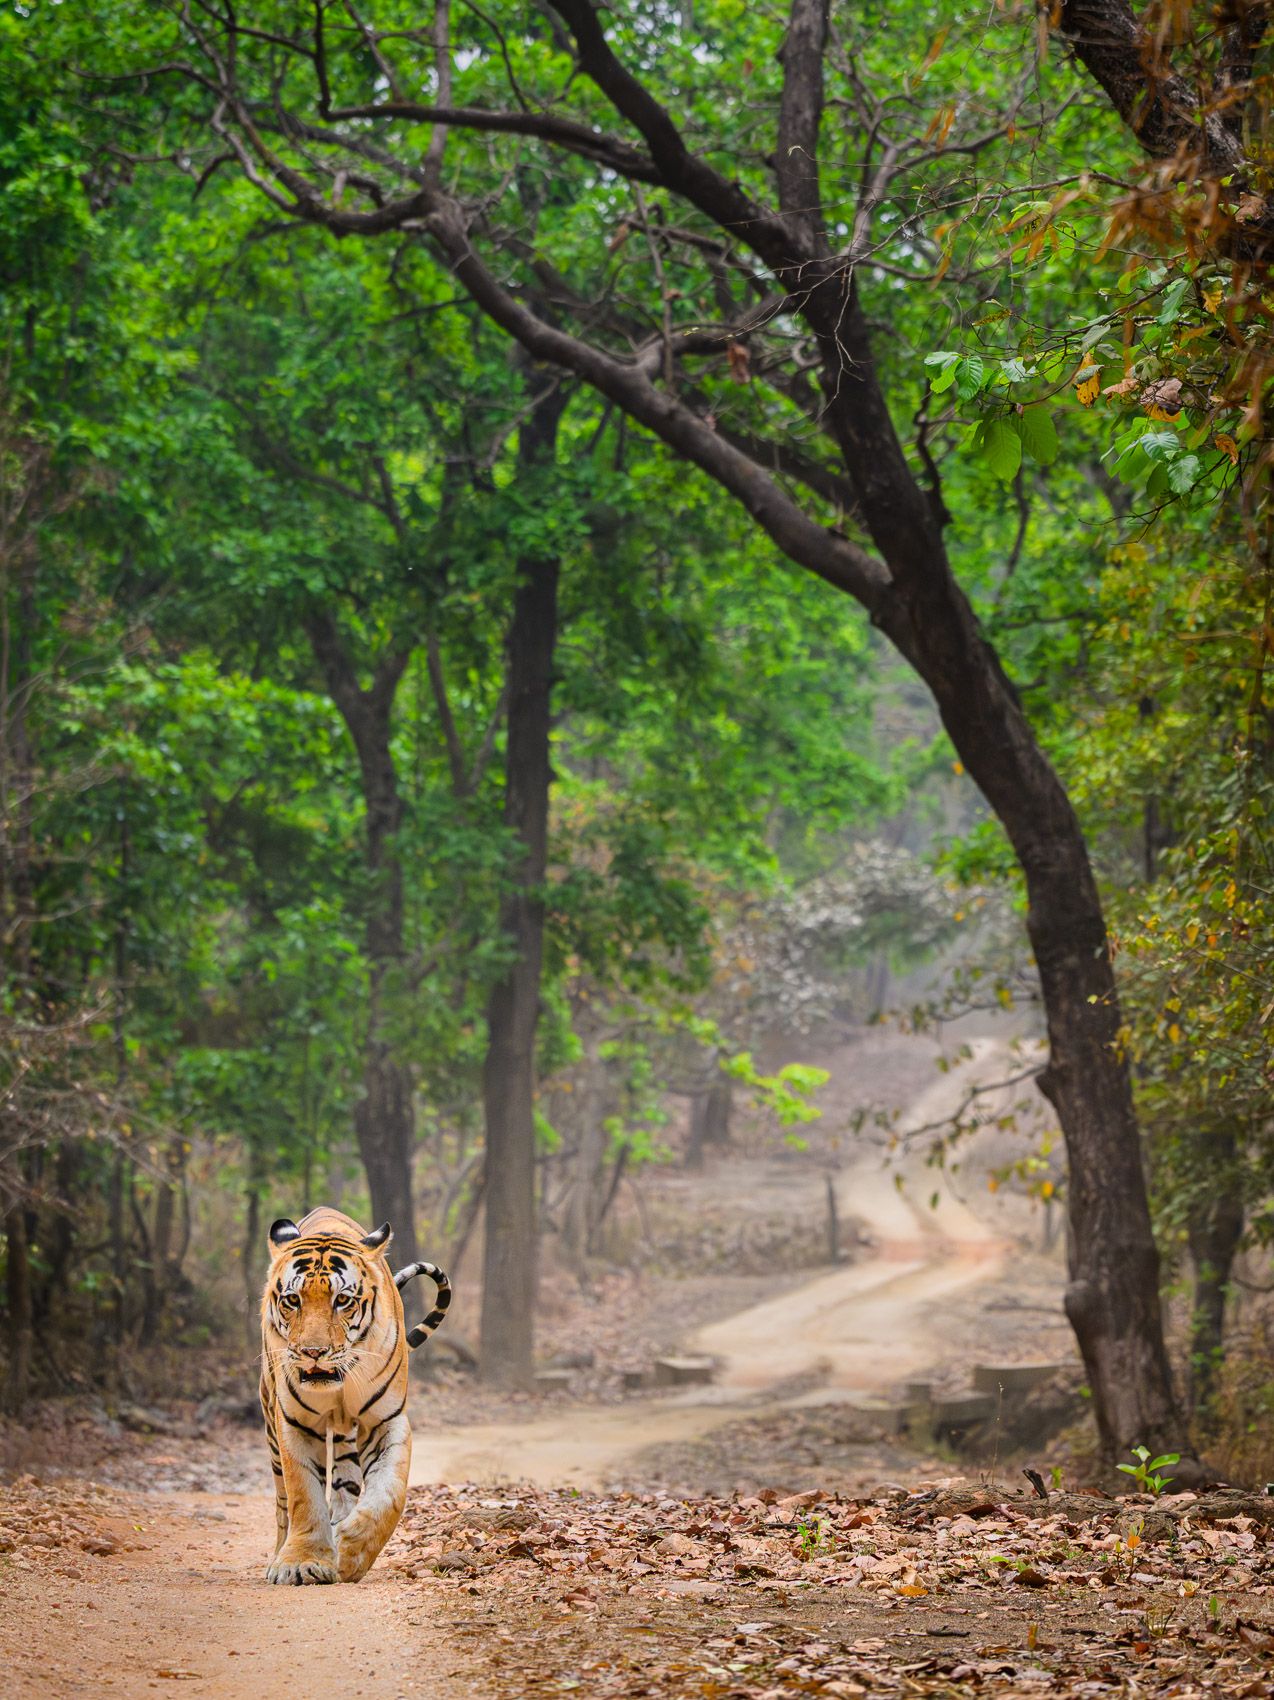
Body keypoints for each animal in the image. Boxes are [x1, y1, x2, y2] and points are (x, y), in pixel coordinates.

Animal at [258, 1206, 451, 1585]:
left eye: (342, 1300)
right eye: (293, 1300)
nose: (313, 1352)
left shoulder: (385, 1420)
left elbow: (389, 1493)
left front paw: (351, 1551)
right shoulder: (294, 1422)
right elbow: (304, 1494)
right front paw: (300, 1562)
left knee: (345, 1482)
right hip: (271, 1426)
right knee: (282, 1502)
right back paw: (280, 1553)